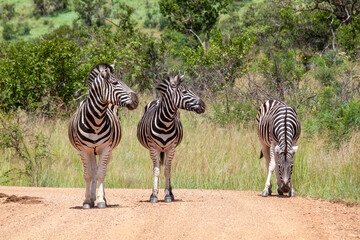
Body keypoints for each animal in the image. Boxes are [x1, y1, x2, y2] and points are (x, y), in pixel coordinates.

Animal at [68, 62, 139, 208]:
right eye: (115, 82)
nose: (136, 100)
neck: (95, 122)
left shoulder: (105, 149)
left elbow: (101, 173)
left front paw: (101, 200)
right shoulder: (83, 150)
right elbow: (88, 174)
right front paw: (87, 200)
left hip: (108, 151)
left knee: (102, 170)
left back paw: (101, 198)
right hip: (91, 152)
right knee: (93, 170)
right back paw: (91, 198)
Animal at [137, 72, 205, 202]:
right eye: (184, 91)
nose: (203, 105)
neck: (165, 123)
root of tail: (158, 99)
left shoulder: (171, 148)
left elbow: (167, 170)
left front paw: (168, 194)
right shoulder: (153, 148)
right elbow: (156, 170)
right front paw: (154, 195)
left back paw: (170, 192)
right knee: (157, 166)